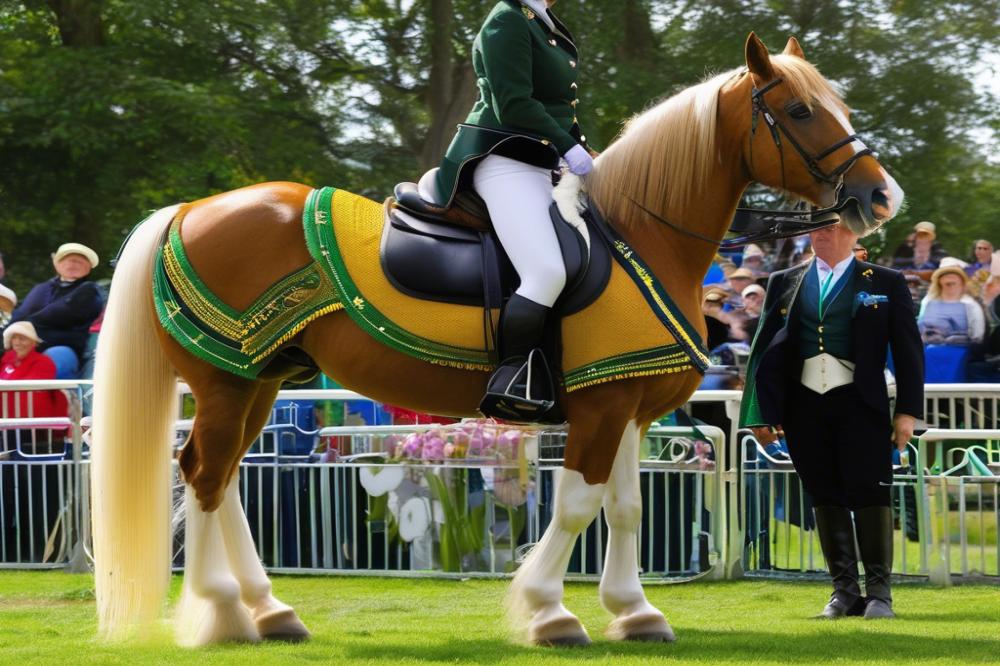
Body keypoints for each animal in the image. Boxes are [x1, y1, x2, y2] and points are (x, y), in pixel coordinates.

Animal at [92, 33, 908, 644]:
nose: (880, 196)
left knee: (223, 478)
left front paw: (634, 612)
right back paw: (225, 611)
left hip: (257, 380)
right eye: (800, 110)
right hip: (228, 381)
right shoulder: (600, 409)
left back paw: (269, 610)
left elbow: (625, 508)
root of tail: (190, 209)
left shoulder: (628, 404)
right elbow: (576, 505)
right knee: (205, 476)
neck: (640, 233)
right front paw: (549, 612)